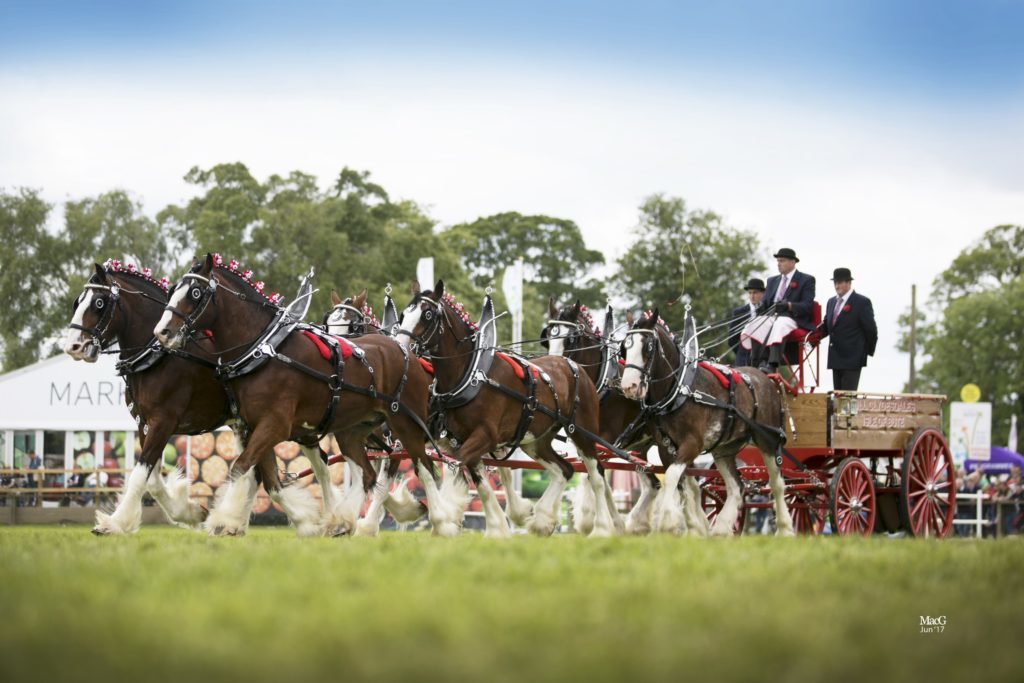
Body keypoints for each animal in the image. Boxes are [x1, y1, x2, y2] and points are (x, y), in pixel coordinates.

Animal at [65, 264, 225, 536]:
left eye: (99, 302)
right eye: (78, 301)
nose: (73, 346)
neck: (160, 357)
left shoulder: (164, 421)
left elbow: (140, 475)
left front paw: (114, 523)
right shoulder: (145, 423)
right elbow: (152, 480)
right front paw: (192, 512)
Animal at [152, 255, 444, 540]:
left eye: (195, 292)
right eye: (173, 290)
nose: (162, 332)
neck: (263, 351)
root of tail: (406, 352)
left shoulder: (275, 425)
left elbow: (241, 466)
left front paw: (224, 520)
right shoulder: (253, 427)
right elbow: (265, 476)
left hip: (406, 425)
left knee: (426, 468)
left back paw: (442, 522)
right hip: (352, 431)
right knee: (368, 474)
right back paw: (342, 521)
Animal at [395, 280, 618, 536]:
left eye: (428, 315)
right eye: (404, 314)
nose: (401, 346)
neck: (472, 375)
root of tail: (572, 364)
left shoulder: (485, 436)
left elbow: (455, 465)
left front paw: (445, 519)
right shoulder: (462, 439)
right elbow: (480, 483)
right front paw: (497, 527)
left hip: (583, 433)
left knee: (597, 475)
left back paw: (601, 527)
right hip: (535, 441)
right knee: (564, 470)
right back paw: (542, 520)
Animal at [544, 301, 704, 536]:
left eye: (571, 339)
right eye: (547, 337)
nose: (552, 366)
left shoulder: (605, 441)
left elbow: (595, 475)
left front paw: (592, 520)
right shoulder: (588, 440)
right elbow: (597, 476)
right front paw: (614, 524)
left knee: (690, 482)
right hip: (644, 446)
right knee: (657, 483)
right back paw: (641, 522)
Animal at [610, 309, 794, 532]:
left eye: (648, 346)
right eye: (624, 349)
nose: (629, 386)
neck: (679, 390)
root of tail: (765, 377)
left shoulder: (692, 444)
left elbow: (672, 478)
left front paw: (668, 522)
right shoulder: (666, 447)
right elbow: (679, 481)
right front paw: (685, 523)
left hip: (768, 440)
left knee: (777, 484)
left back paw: (785, 528)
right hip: (724, 449)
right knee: (736, 487)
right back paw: (721, 529)